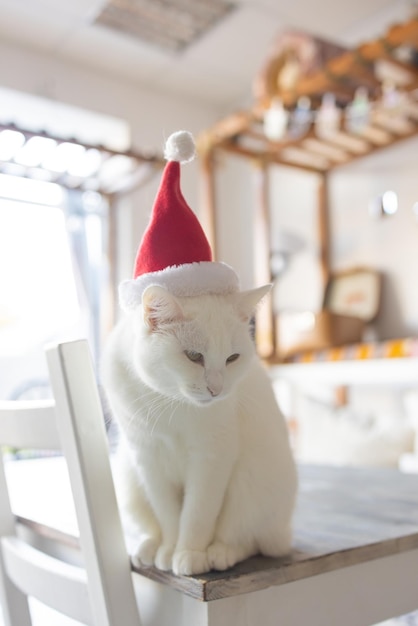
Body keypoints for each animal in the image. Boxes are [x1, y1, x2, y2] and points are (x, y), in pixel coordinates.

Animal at [101, 280, 298, 572]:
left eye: (232, 358)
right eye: (194, 356)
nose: (217, 389)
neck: (171, 401)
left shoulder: (212, 457)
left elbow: (197, 514)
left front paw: (189, 554)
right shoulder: (147, 458)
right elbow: (168, 514)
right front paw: (170, 549)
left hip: (251, 485)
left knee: (251, 541)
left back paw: (222, 552)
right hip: (128, 481)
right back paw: (149, 548)